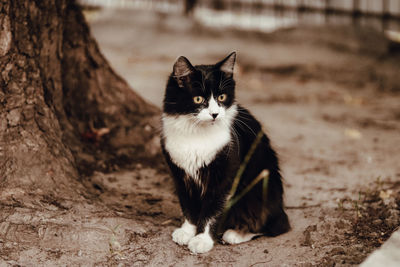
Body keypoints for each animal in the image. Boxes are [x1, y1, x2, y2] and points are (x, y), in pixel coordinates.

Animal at [161, 51, 290, 254]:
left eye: (221, 97)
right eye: (198, 99)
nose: (215, 114)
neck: (196, 134)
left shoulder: (223, 177)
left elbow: (211, 211)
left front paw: (202, 240)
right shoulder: (180, 175)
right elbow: (188, 206)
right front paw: (187, 231)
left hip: (256, 191)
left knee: (274, 225)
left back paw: (235, 234)